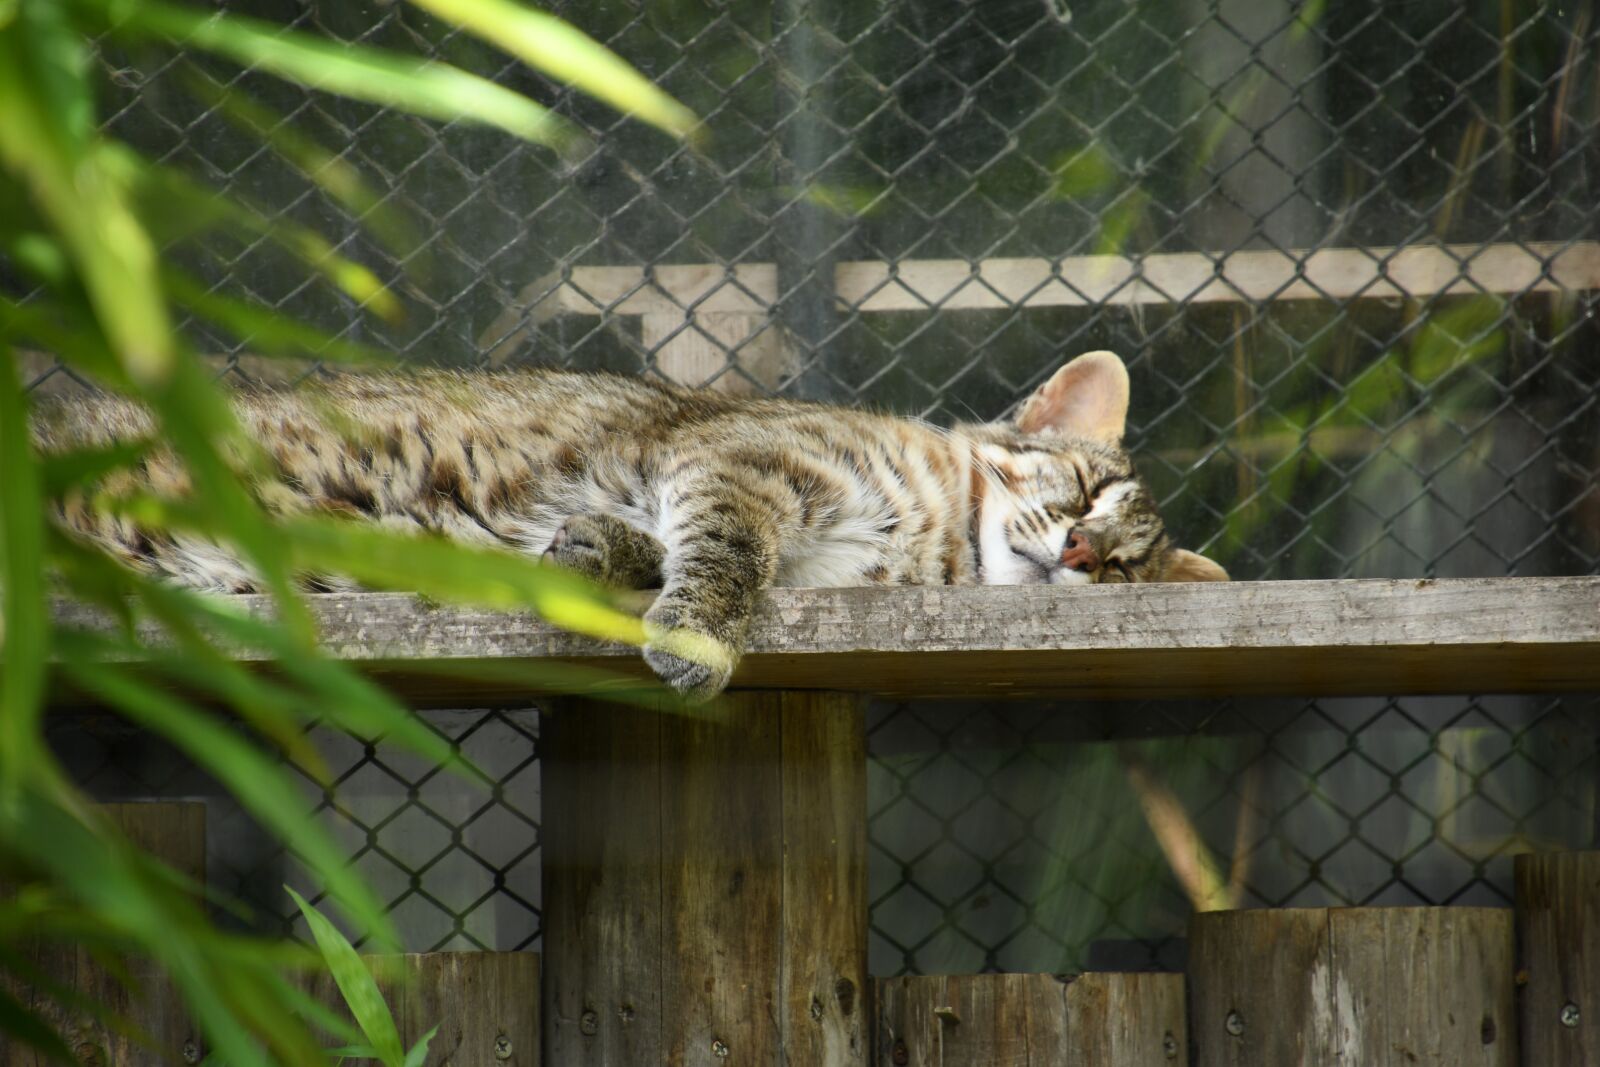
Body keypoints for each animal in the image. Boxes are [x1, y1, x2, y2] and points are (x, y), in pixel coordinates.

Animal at [34, 350, 1222, 700]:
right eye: (1081, 495)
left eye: (1125, 568)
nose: (1081, 552)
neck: (927, 551)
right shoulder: (744, 461)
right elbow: (728, 546)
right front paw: (695, 632)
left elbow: (658, 545)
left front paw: (605, 554)